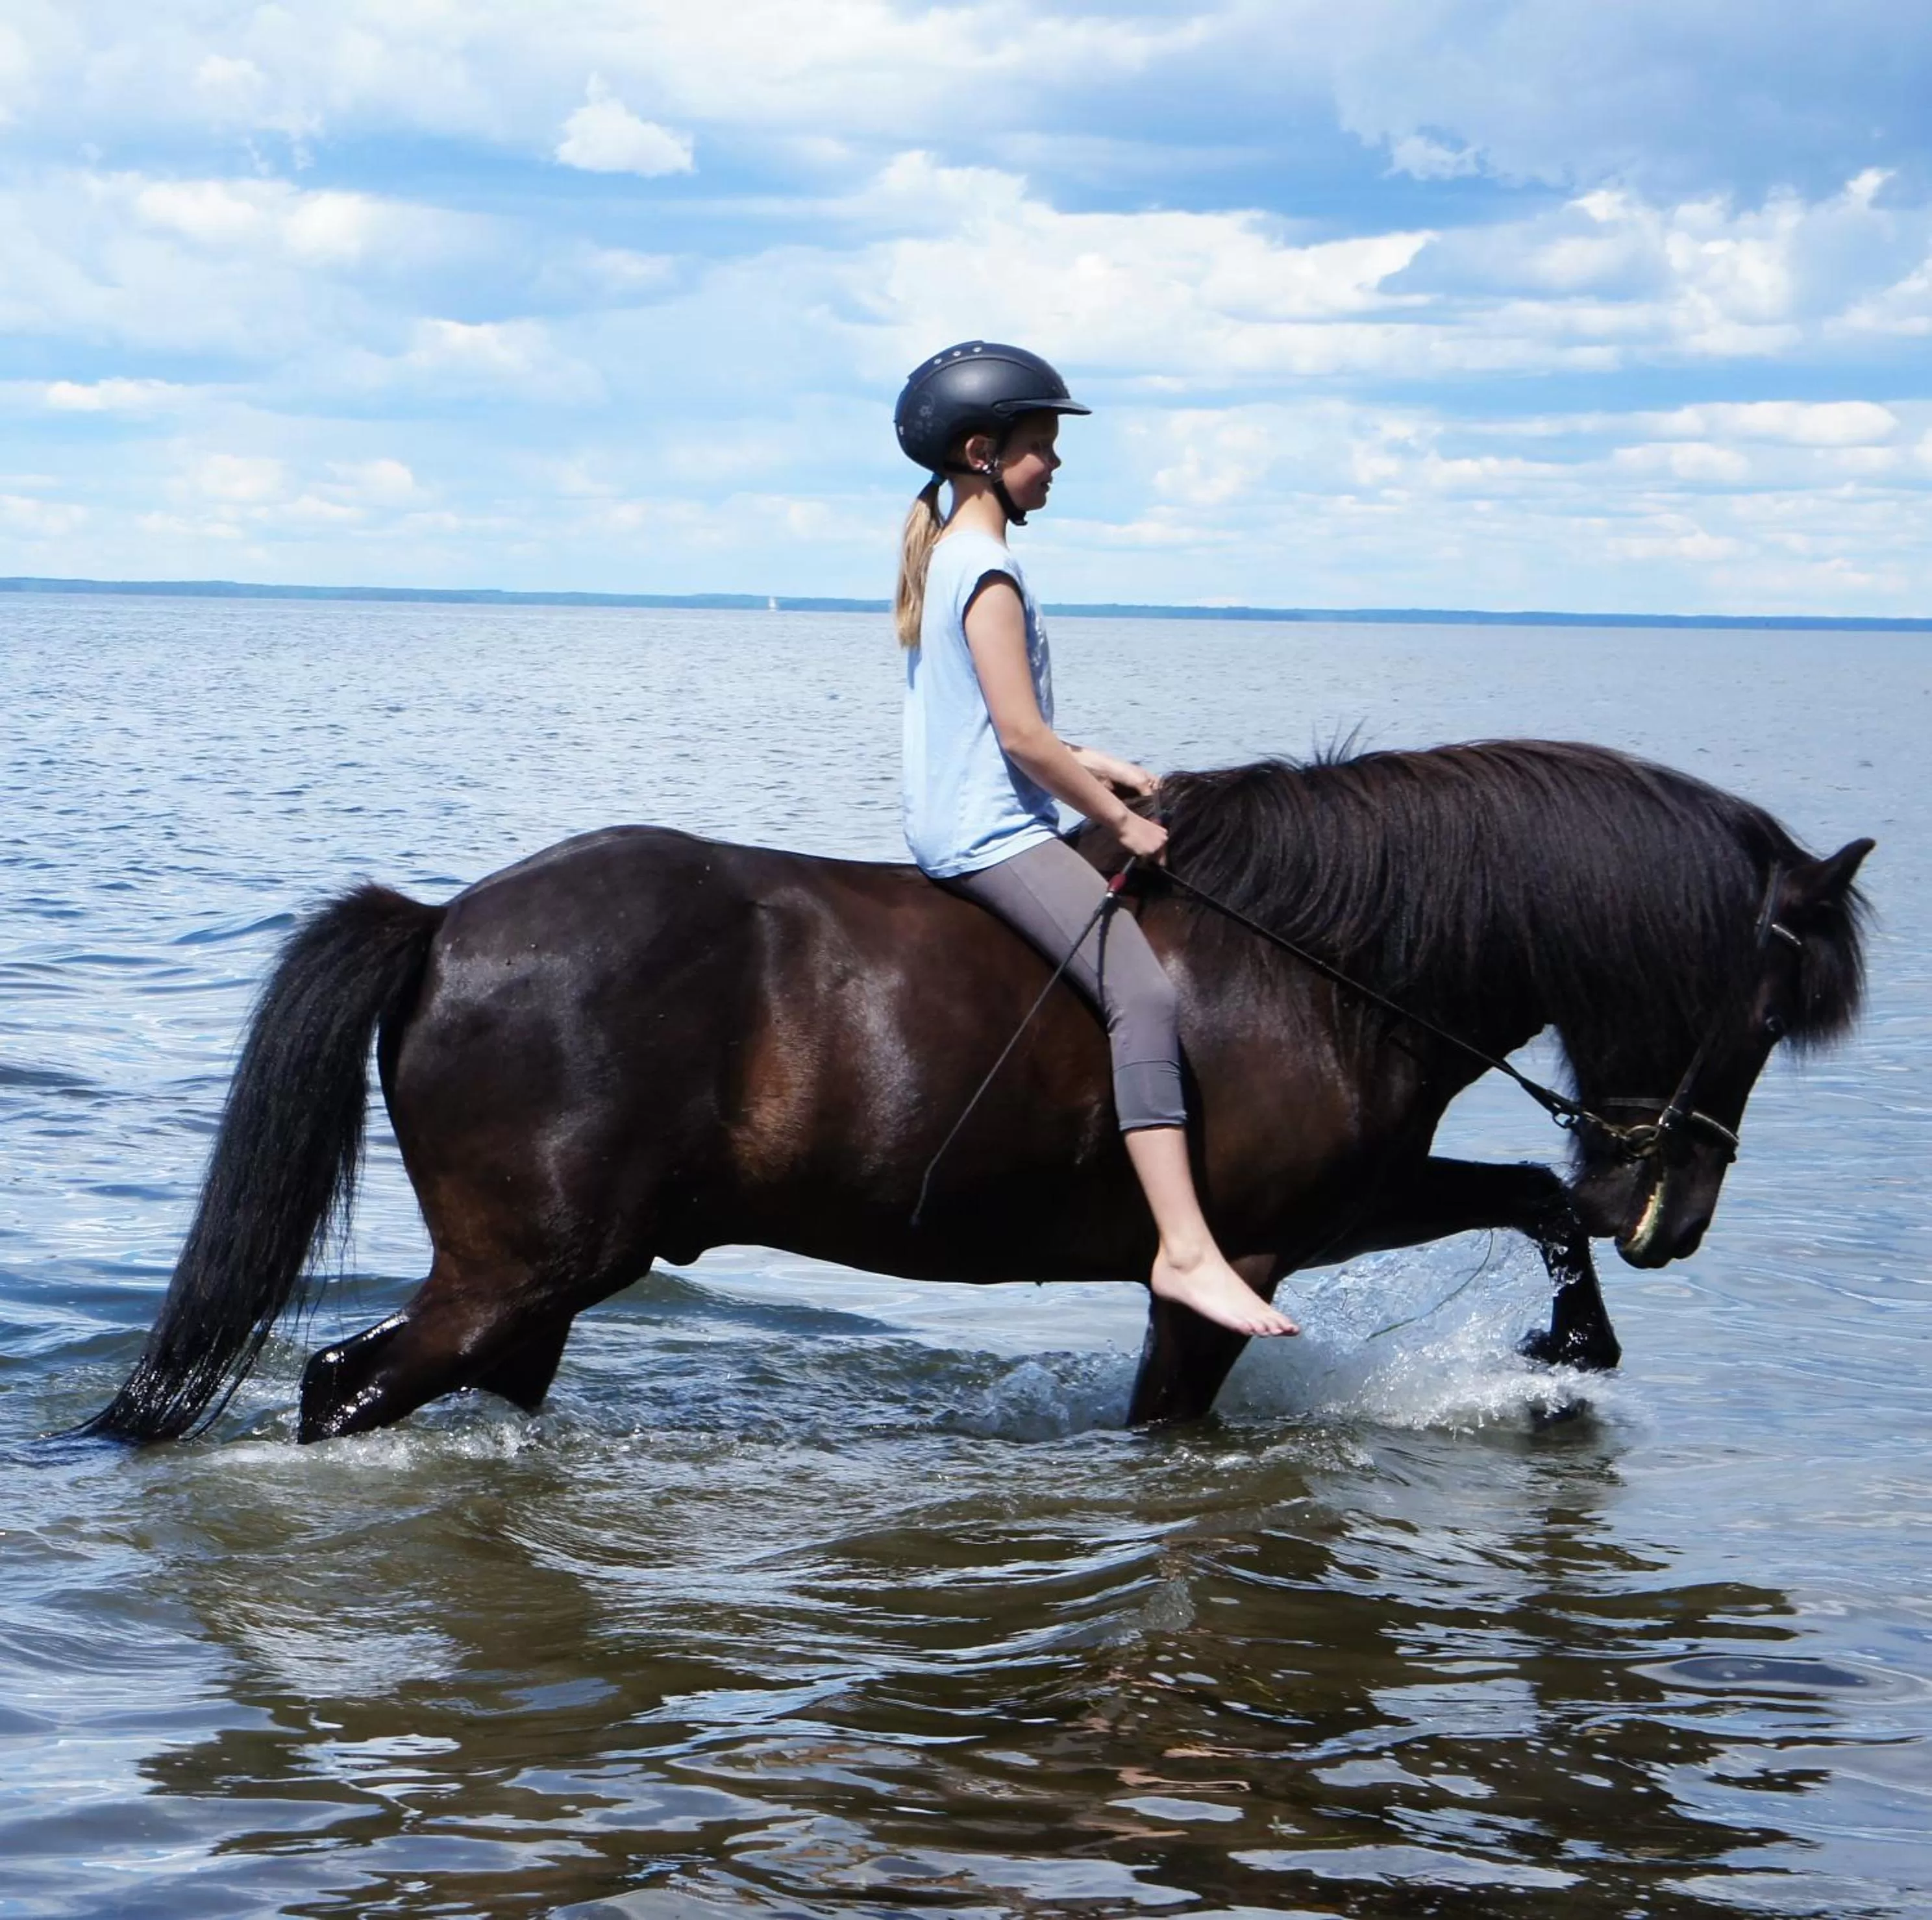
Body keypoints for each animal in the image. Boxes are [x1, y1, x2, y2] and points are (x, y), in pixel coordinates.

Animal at [78, 740, 1871, 1446]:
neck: (1318, 955)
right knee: (339, 1386)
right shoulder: (1236, 1260)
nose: (1674, 1219)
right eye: (1759, 1011)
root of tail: (450, 922)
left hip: (546, 1286)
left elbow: (1530, 1196)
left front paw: (1576, 1342)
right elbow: (1174, 1417)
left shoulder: (1347, 1205)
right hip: (516, 1272)